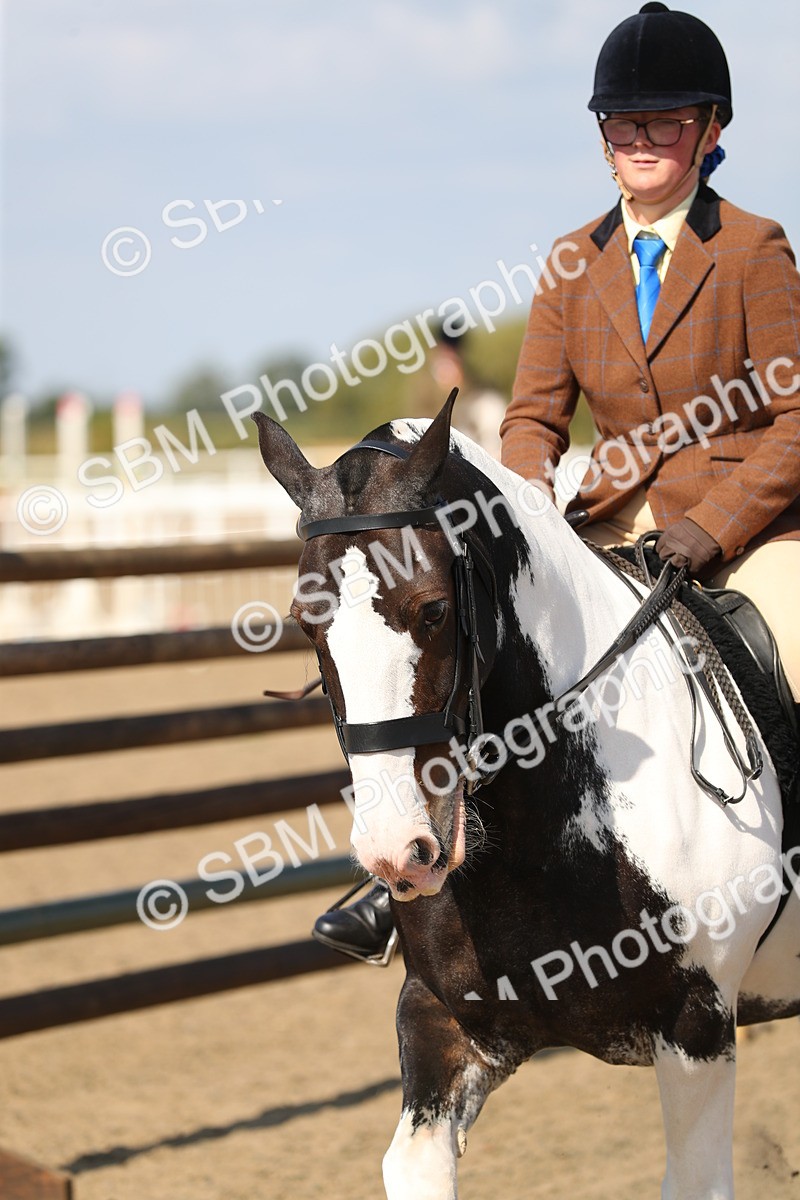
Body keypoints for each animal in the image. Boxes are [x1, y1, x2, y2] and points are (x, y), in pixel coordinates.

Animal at [253, 391, 800, 1199]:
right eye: (304, 622)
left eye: (433, 611)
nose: (396, 852)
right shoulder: (445, 1019)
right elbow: (411, 1163)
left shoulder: (697, 1028)